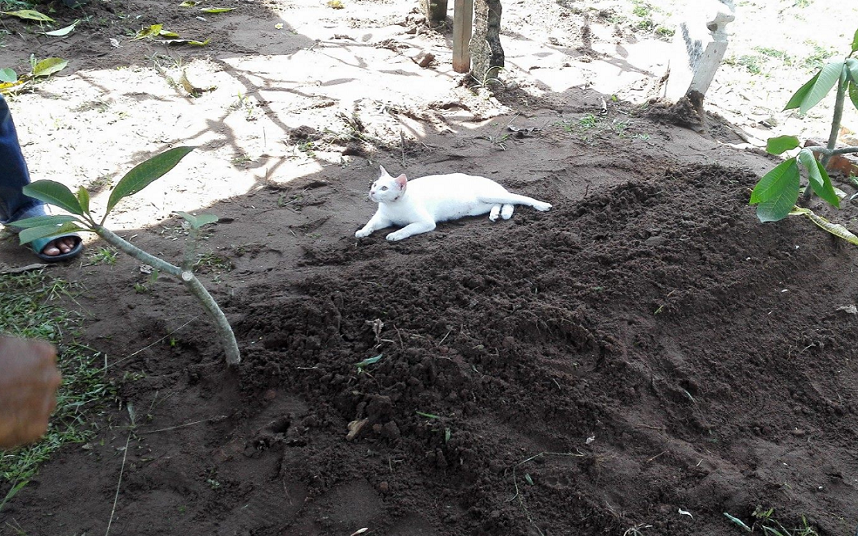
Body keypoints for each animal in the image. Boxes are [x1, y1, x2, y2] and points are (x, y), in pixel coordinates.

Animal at [352, 165, 548, 241]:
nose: (372, 192)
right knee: (505, 203)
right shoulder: (382, 219)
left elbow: (406, 228)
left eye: (384, 188)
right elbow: (371, 224)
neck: (393, 206)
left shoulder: (426, 222)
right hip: (483, 203)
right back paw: (497, 214)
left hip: (490, 194)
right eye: (375, 184)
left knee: (517, 199)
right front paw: (362, 232)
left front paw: (395, 234)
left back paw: (542, 205)